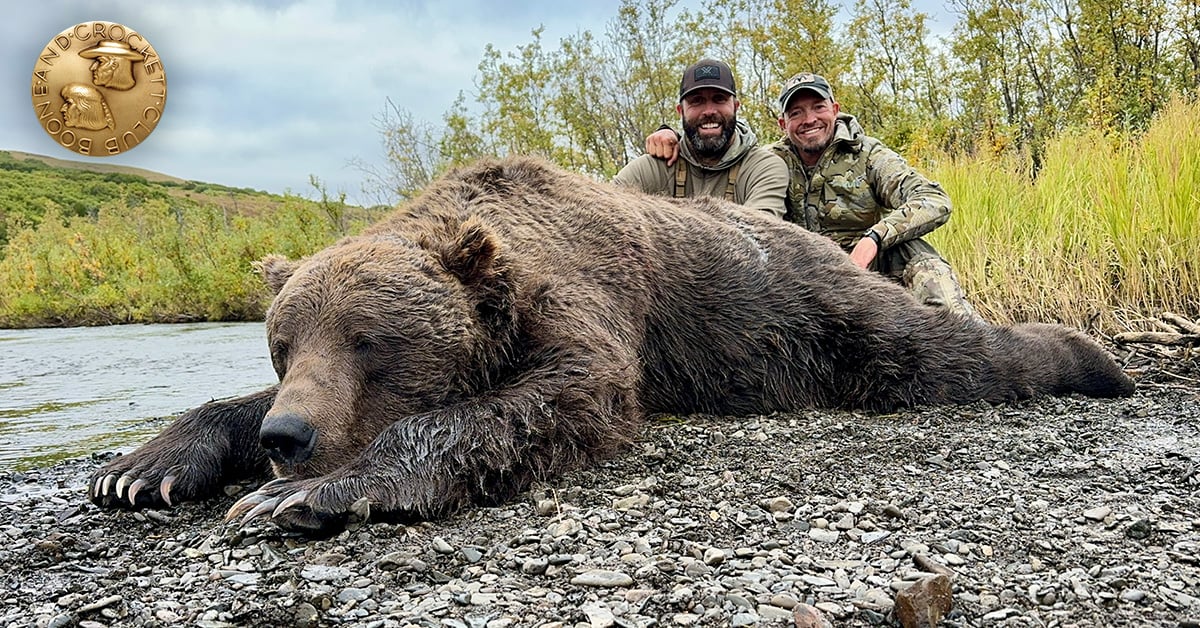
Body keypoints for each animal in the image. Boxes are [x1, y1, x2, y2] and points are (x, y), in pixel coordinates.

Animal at [88, 155, 1134, 534]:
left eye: (370, 341)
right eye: (281, 345)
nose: (288, 439)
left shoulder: (583, 299)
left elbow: (563, 399)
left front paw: (315, 493)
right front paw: (142, 467)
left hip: (814, 306)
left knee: (935, 351)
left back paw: (1095, 360)